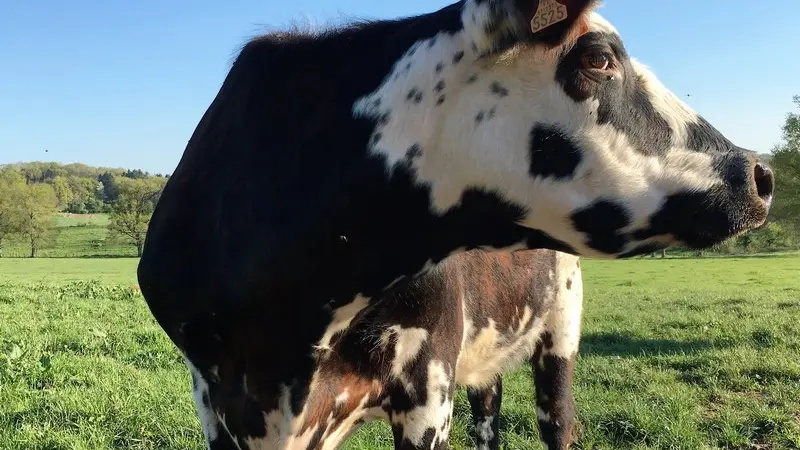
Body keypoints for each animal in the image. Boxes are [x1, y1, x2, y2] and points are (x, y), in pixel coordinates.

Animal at [139, 1, 776, 448]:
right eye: (598, 58)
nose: (759, 173)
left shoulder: (428, 390)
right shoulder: (212, 398)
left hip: (561, 332)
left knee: (558, 424)